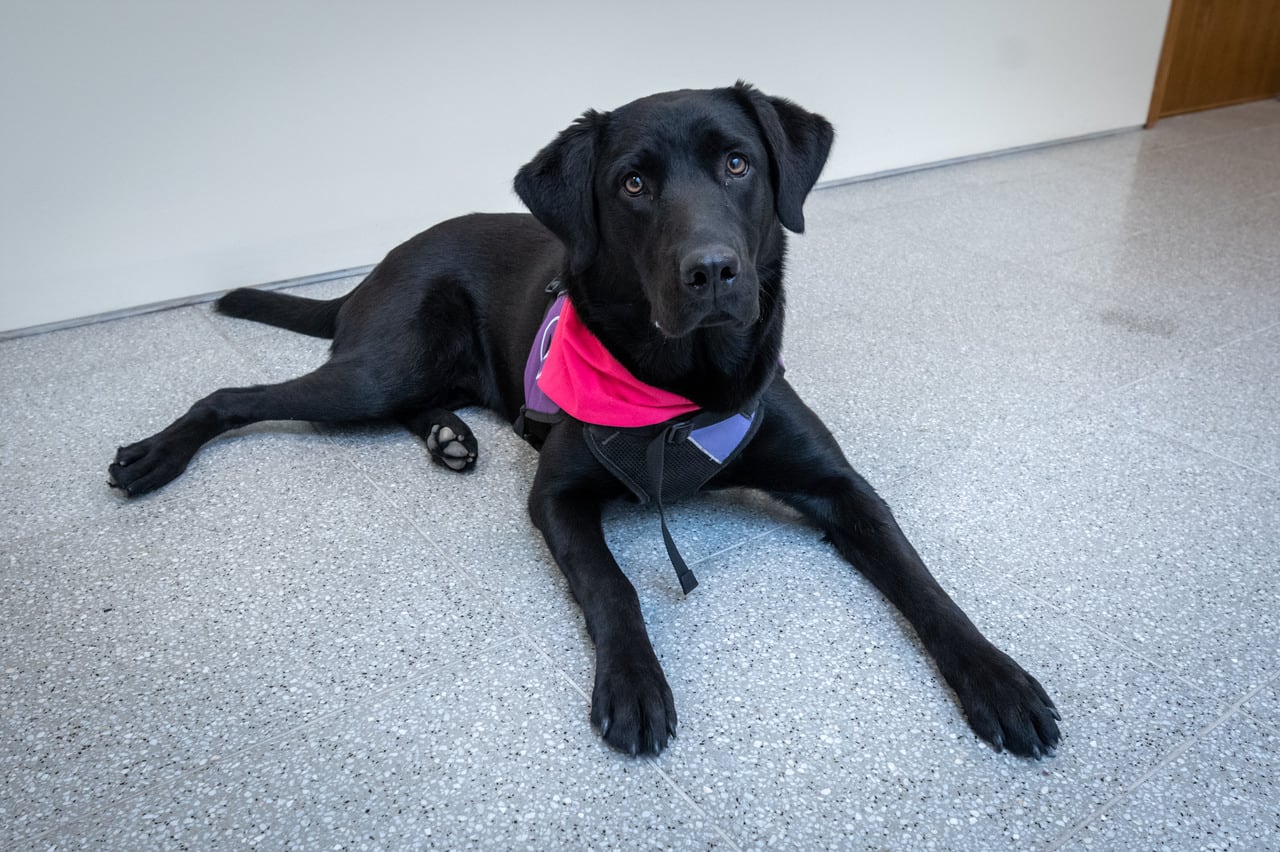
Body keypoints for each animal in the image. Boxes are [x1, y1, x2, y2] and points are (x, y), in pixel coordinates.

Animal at [110, 81, 1059, 757]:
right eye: (633, 183)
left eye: (739, 165)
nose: (712, 271)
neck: (684, 390)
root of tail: (382, 262)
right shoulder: (559, 495)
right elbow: (612, 583)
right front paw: (633, 685)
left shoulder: (839, 485)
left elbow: (921, 578)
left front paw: (998, 678)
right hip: (377, 370)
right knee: (237, 398)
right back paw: (155, 457)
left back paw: (449, 436)